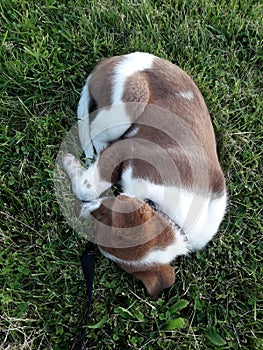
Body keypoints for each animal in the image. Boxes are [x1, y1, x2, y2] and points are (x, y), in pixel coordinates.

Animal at [63, 52, 228, 298]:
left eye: (105, 216)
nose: (81, 213)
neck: (170, 215)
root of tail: (110, 61)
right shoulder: (131, 147)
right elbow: (87, 187)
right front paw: (69, 164)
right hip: (128, 103)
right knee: (93, 128)